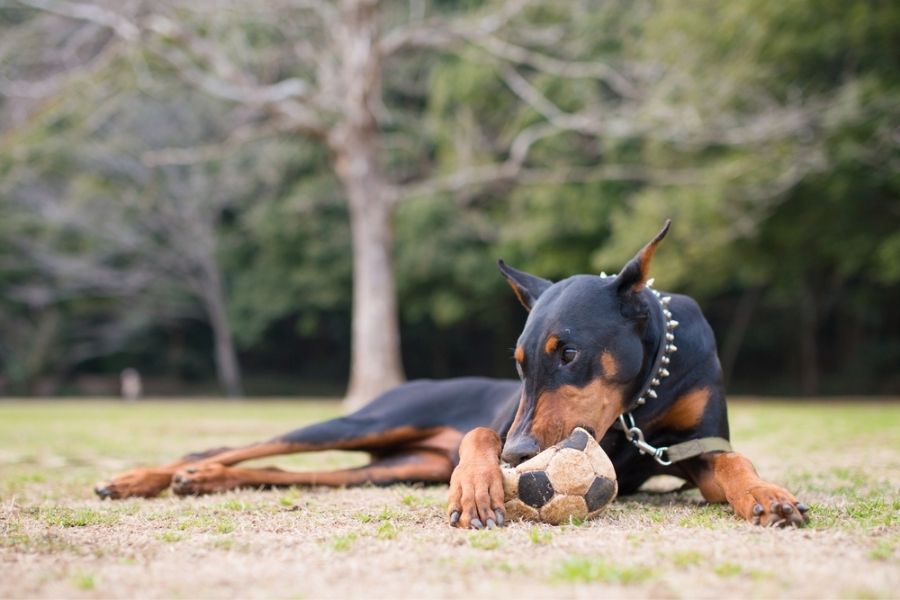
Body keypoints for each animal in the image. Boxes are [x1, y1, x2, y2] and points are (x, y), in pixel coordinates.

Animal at [96, 223, 808, 528]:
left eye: (569, 353)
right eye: (519, 363)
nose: (523, 455)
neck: (641, 401)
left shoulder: (697, 444)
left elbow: (731, 464)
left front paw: (766, 494)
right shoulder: (506, 421)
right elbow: (482, 436)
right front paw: (478, 487)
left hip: (395, 465)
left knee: (288, 470)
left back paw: (199, 481)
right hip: (373, 418)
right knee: (236, 444)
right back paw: (147, 477)